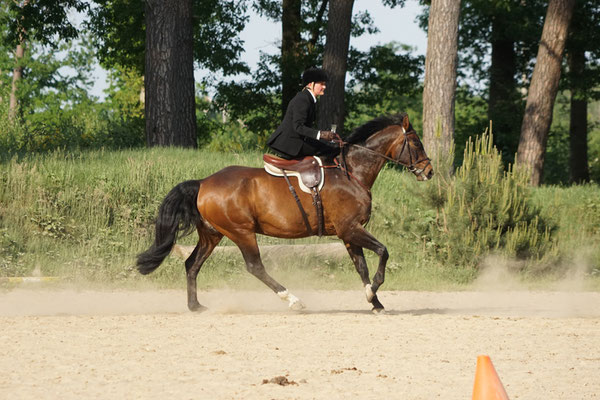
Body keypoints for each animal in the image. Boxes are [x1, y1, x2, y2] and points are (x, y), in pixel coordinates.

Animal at [138, 112, 434, 312]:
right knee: (255, 266)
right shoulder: (351, 228)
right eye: (416, 143)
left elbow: (361, 266)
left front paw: (374, 301)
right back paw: (293, 300)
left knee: (192, 264)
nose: (429, 171)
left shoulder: (348, 233)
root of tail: (203, 183)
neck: (352, 173)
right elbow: (383, 252)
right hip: (241, 232)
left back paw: (196, 306)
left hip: (212, 234)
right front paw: (374, 292)